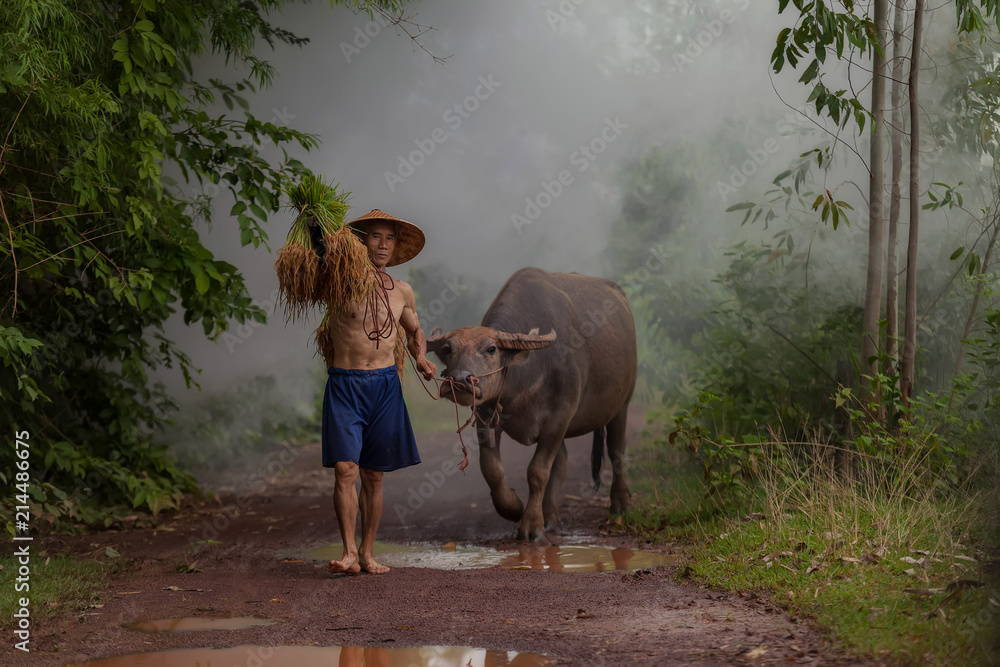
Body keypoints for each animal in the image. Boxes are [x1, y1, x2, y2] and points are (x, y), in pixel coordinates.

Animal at [426, 266, 636, 544]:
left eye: (491, 349)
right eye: (449, 349)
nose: (460, 381)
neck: (525, 379)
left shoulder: (559, 418)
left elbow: (537, 472)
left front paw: (532, 526)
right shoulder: (487, 415)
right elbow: (492, 469)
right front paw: (514, 507)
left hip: (622, 404)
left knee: (616, 450)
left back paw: (620, 505)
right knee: (562, 463)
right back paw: (551, 516)